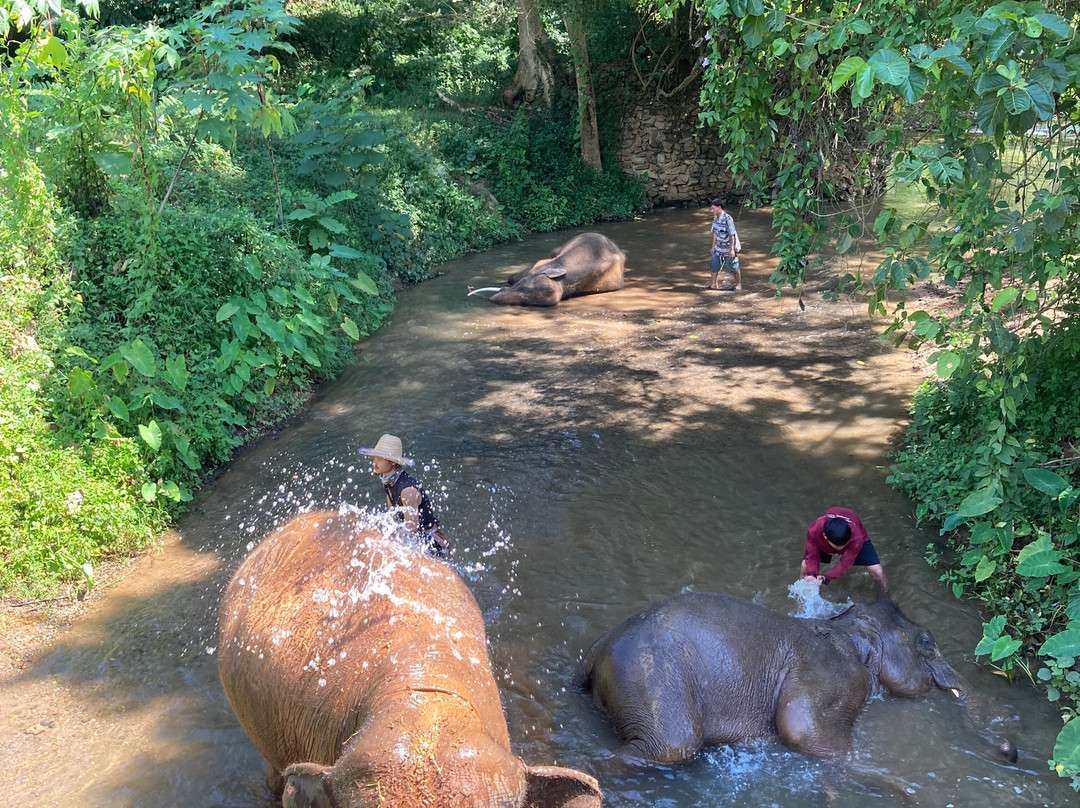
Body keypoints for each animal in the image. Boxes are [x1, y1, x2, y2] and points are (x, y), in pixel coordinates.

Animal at [573, 591, 1018, 766]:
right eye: (928, 643)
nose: (1010, 750)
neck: (845, 629)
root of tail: (596, 650)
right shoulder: (833, 672)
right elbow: (801, 728)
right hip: (649, 677)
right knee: (672, 746)